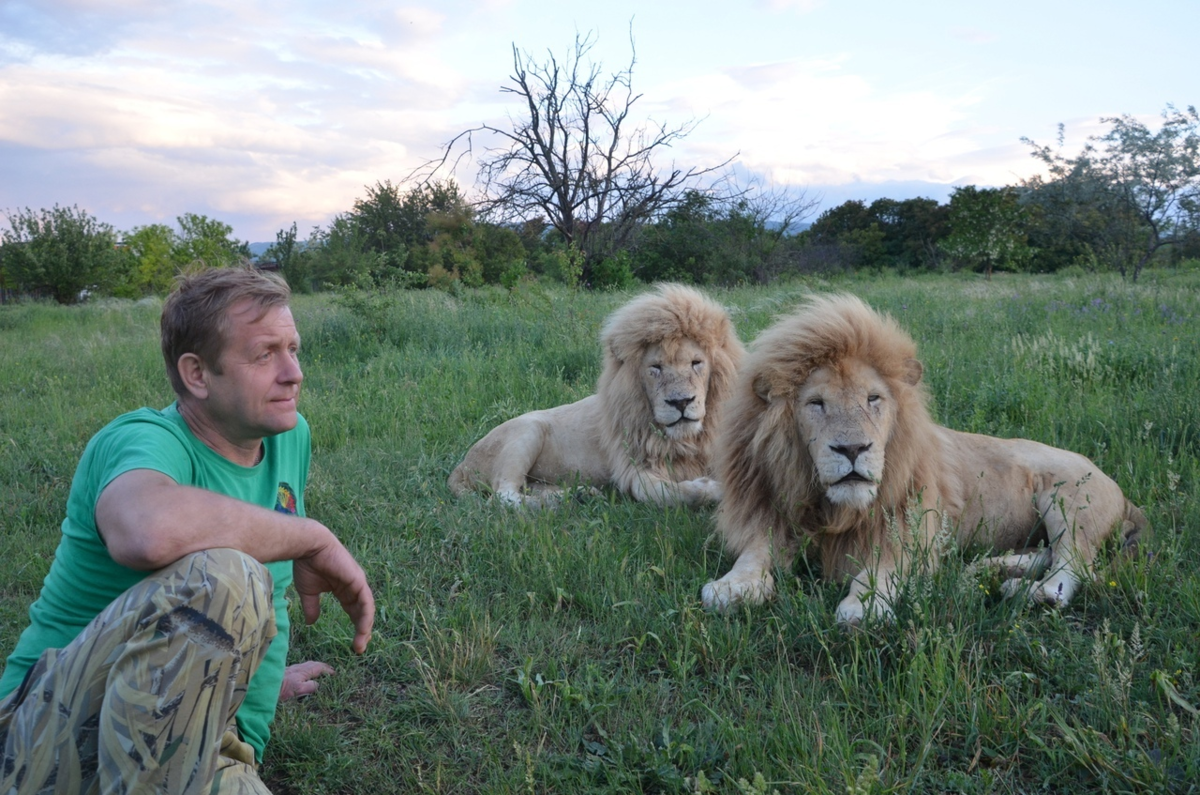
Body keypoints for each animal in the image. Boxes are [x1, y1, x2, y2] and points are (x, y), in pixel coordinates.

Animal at [448, 287, 739, 511]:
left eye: (696, 363)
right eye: (655, 367)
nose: (681, 402)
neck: (688, 440)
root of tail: (461, 465)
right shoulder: (632, 467)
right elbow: (664, 494)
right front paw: (711, 488)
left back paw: (578, 495)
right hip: (527, 431)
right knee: (503, 497)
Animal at [700, 295, 1147, 624]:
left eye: (873, 399)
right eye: (816, 403)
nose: (852, 450)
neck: (833, 509)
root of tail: (1121, 491)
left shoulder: (909, 529)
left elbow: (879, 571)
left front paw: (864, 605)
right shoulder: (770, 518)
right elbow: (751, 558)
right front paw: (731, 586)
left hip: (1069, 499)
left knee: (1075, 565)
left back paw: (1030, 593)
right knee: (1049, 554)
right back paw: (991, 570)